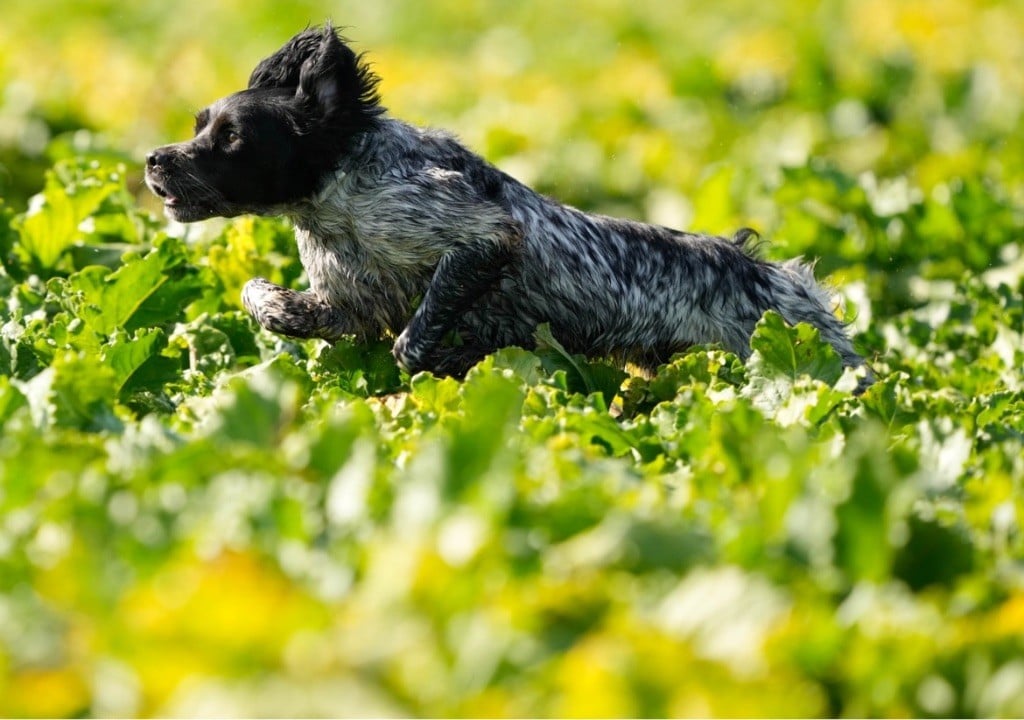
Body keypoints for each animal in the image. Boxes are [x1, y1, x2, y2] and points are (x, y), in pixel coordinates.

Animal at [144, 23, 868, 383]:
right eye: (198, 122)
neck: (338, 195)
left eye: (230, 137)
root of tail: (778, 276)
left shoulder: (479, 237)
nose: (153, 159)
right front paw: (268, 298)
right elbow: (263, 300)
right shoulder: (349, 305)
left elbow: (419, 334)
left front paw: (443, 363)